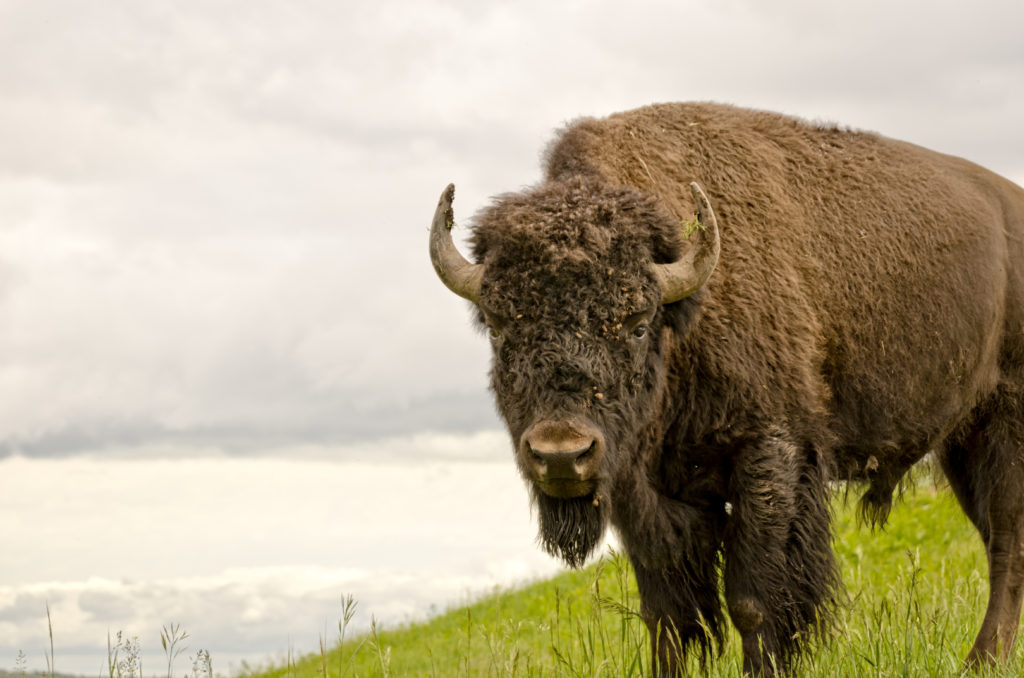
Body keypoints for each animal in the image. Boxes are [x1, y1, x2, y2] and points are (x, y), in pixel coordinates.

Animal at [425, 103, 1024, 675]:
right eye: (498, 326)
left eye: (637, 323)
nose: (560, 454)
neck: (683, 319)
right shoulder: (646, 494)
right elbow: (668, 615)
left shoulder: (768, 456)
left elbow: (755, 600)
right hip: (963, 445)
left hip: (1006, 430)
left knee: (1007, 544)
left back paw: (981, 660)